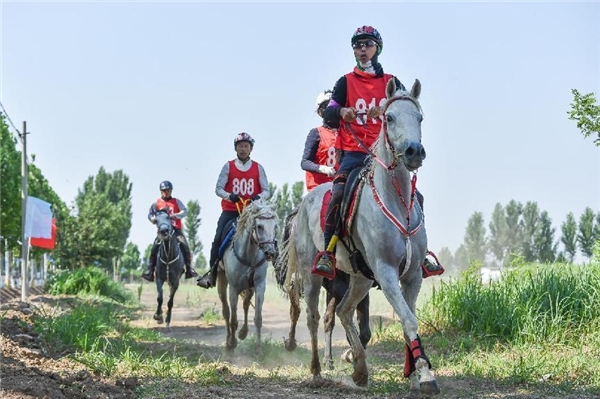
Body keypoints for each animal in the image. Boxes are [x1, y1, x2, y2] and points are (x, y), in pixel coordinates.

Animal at [218, 200, 278, 356]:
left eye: (275, 226)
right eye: (260, 226)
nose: (271, 253)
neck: (248, 255)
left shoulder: (259, 286)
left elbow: (258, 318)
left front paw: (258, 349)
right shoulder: (233, 288)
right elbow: (233, 319)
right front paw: (232, 344)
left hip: (249, 288)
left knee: (245, 305)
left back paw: (243, 333)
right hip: (222, 282)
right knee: (226, 311)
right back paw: (228, 342)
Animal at [282, 79, 440, 396]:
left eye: (419, 118)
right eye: (389, 117)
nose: (414, 152)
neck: (396, 202)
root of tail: (304, 204)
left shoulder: (412, 276)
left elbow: (409, 320)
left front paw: (416, 373)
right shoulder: (386, 271)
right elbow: (408, 320)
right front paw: (426, 375)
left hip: (361, 278)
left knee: (344, 311)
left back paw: (360, 369)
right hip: (312, 274)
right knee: (314, 317)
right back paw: (317, 369)